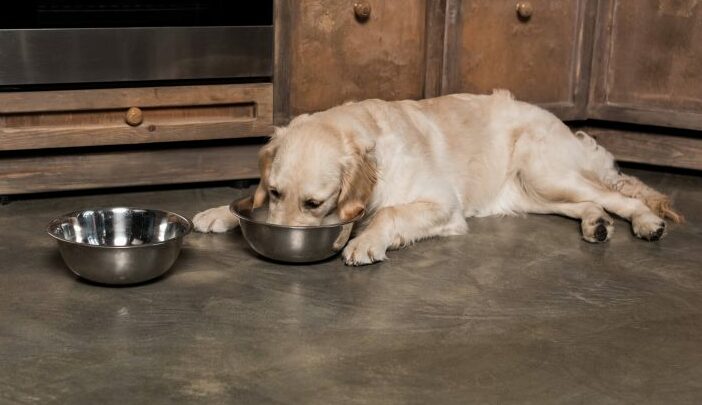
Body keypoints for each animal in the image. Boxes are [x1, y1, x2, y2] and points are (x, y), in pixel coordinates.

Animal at [192, 90, 680, 266]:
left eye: (315, 203)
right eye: (275, 192)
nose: (280, 238)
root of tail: (562, 121)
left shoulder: (442, 204)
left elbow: (388, 215)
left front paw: (365, 242)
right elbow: (247, 202)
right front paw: (219, 212)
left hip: (548, 171)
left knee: (620, 196)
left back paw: (646, 223)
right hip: (535, 193)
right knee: (590, 203)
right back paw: (595, 224)